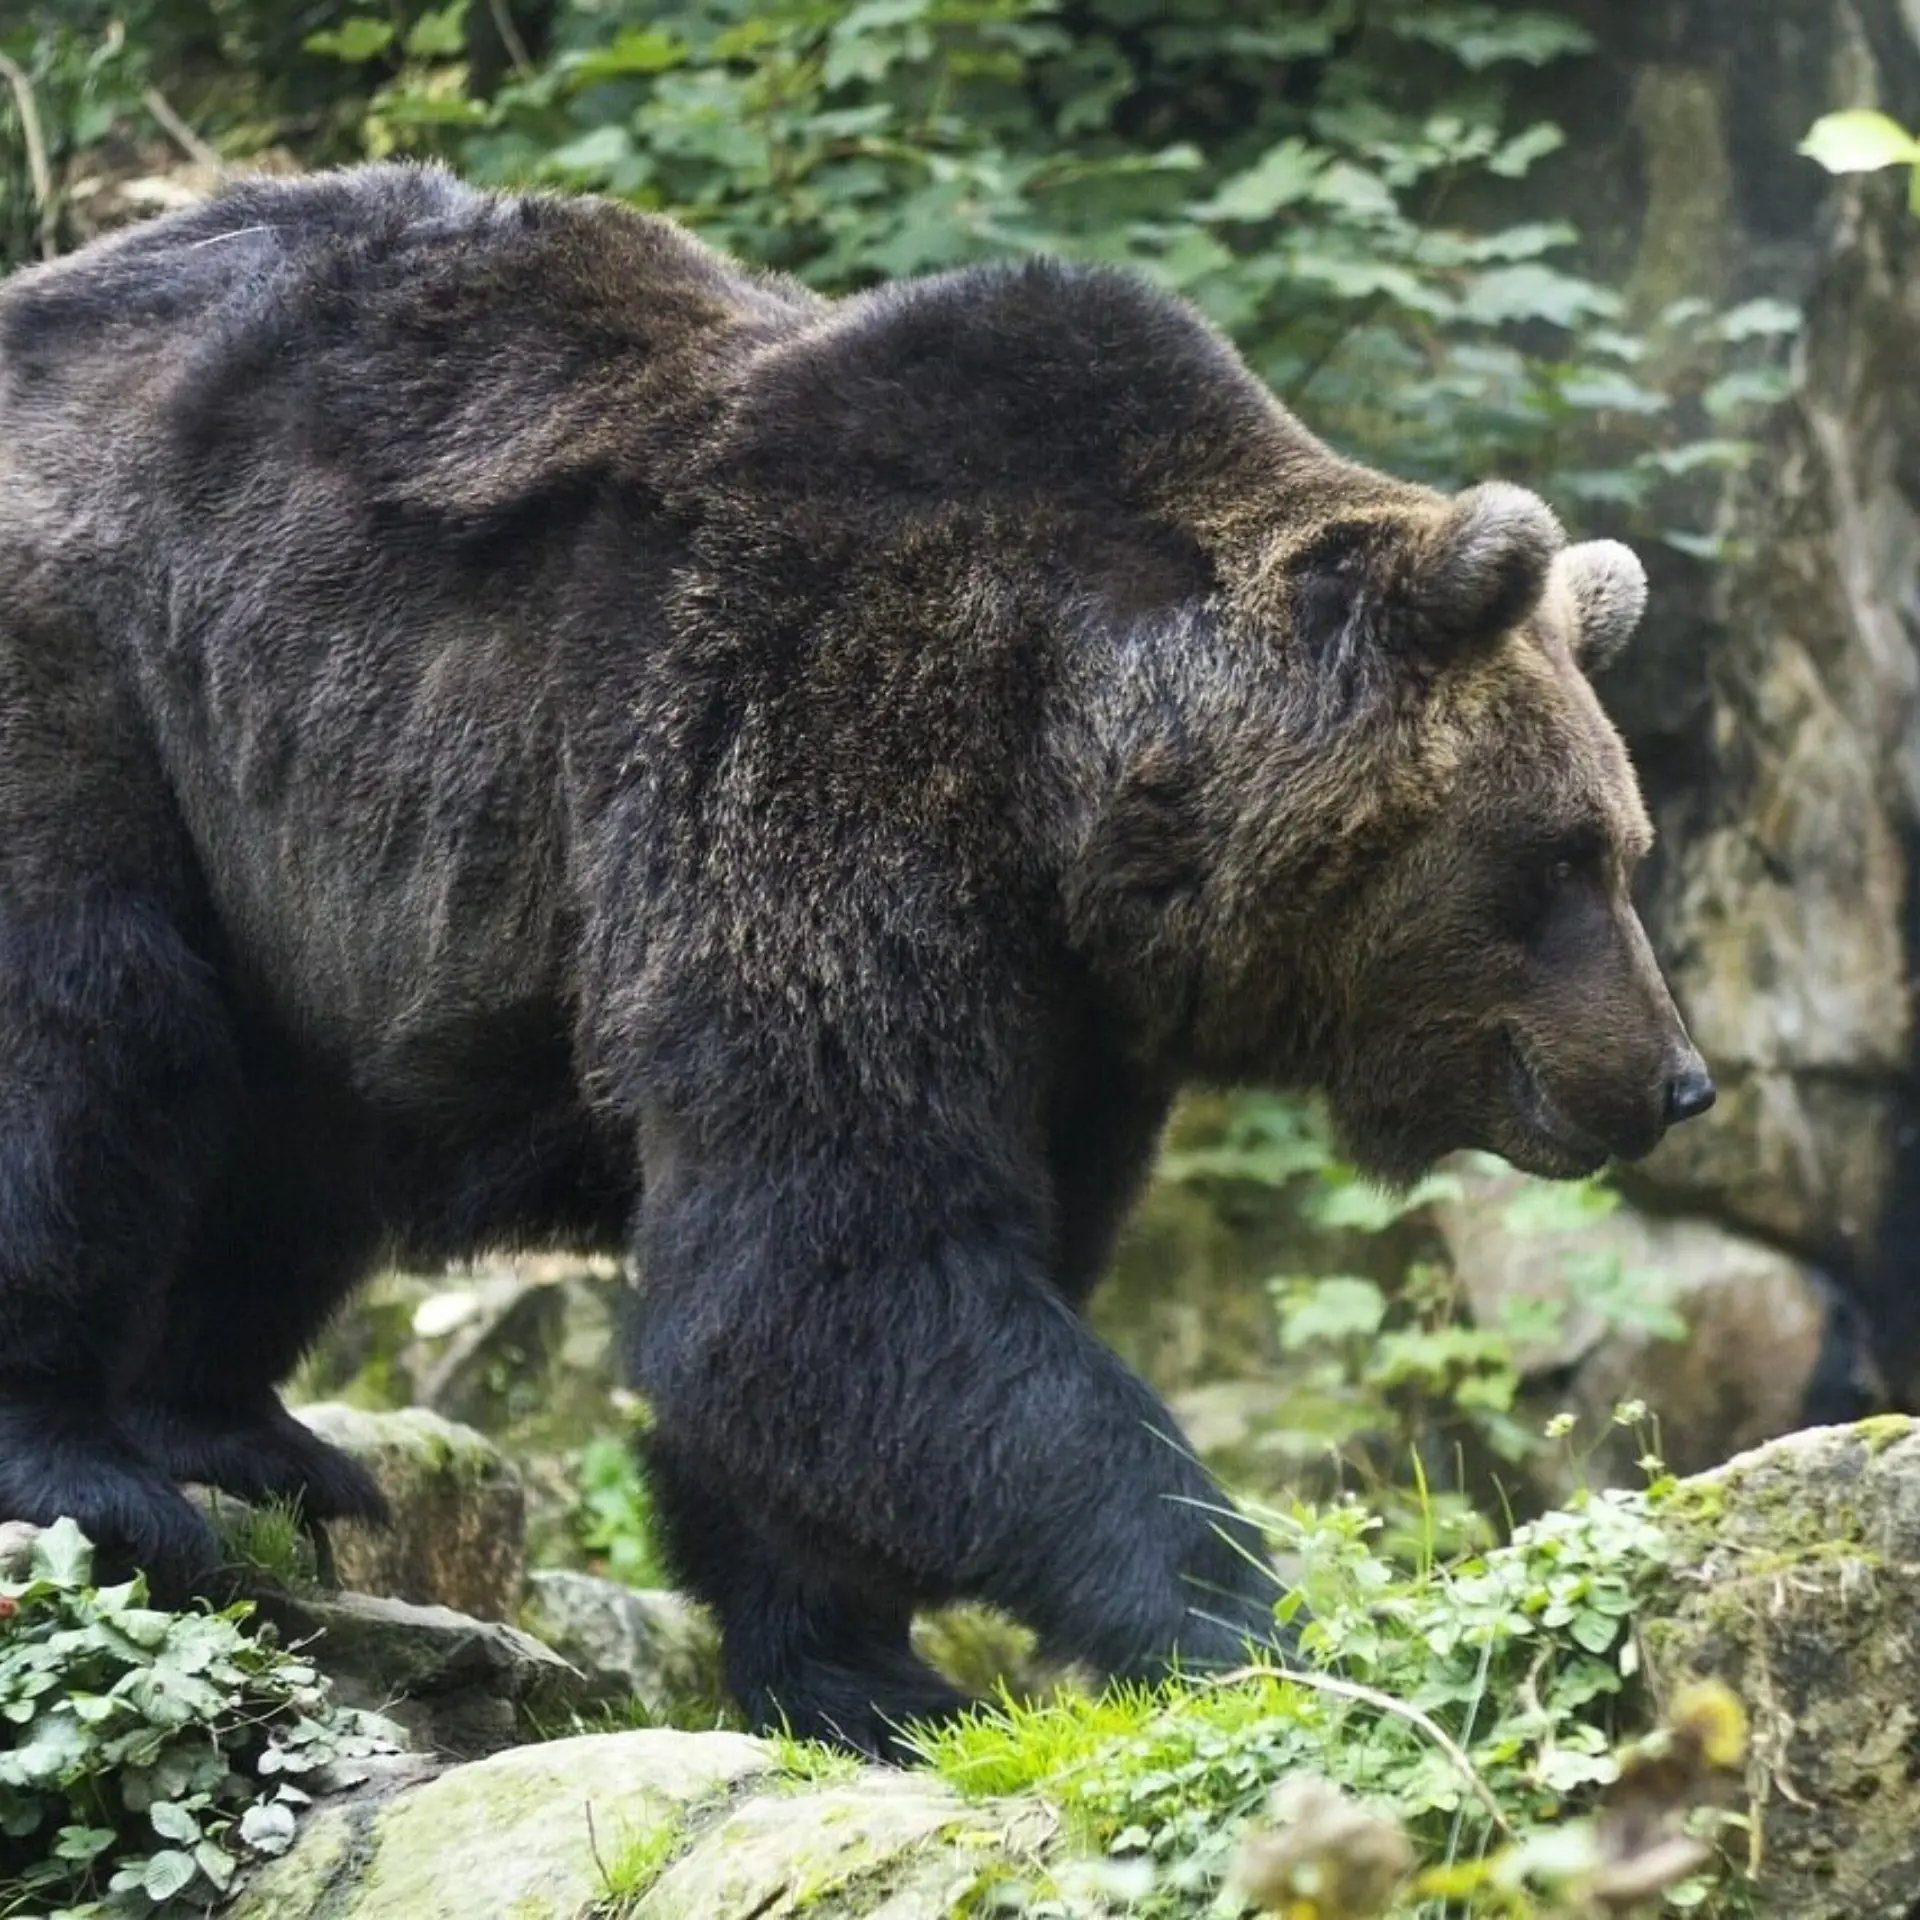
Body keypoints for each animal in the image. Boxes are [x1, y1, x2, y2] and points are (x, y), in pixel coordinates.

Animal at [0, 160, 1715, 1758]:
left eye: (1624, 847)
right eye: (1563, 857)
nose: (1675, 1079)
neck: (1072, 782)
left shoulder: (1067, 1022)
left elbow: (890, 1309)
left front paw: (856, 1670)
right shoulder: (811, 761)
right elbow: (828, 1264)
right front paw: (1249, 1614)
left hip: (284, 858)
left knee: (293, 1147)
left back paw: (253, 1439)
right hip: (102, 677)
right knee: (93, 1038)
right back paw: (95, 1471)